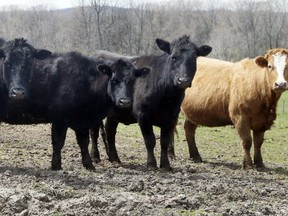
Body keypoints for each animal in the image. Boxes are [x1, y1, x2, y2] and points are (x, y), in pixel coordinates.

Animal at [0, 45, 148, 170]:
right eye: (114, 80)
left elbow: (84, 142)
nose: (125, 101)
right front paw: (56, 166)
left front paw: (89, 165)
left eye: (132, 81)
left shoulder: (82, 121)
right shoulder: (60, 118)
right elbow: (58, 142)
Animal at [91, 35, 213, 170]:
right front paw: (151, 164)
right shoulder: (143, 115)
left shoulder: (171, 117)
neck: (167, 97)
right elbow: (150, 140)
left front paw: (165, 165)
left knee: (110, 132)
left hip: (114, 114)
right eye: (174, 57)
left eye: (193, 59)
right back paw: (95, 157)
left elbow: (164, 141)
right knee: (94, 133)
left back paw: (115, 159)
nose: (183, 80)